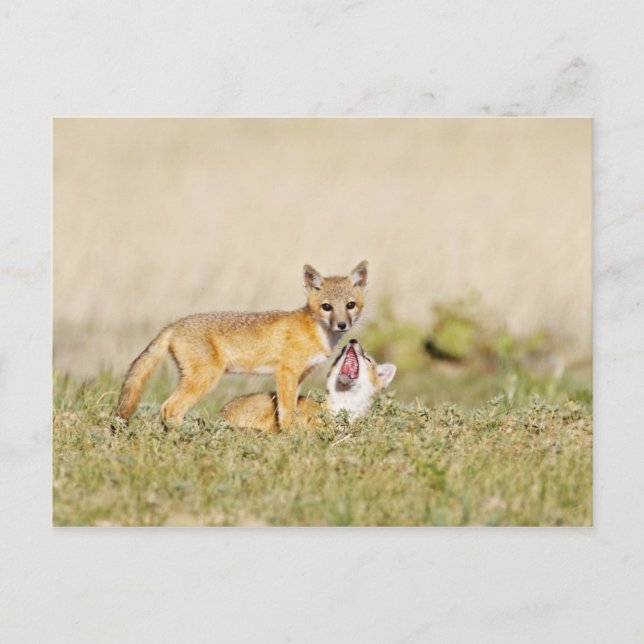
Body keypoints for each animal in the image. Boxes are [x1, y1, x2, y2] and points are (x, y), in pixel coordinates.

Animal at [116, 261, 368, 429]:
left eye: (350, 305)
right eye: (327, 307)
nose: (342, 325)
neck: (316, 333)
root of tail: (173, 325)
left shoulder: (298, 377)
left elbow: (291, 408)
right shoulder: (285, 373)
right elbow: (286, 412)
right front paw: (290, 437)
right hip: (204, 379)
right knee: (169, 409)